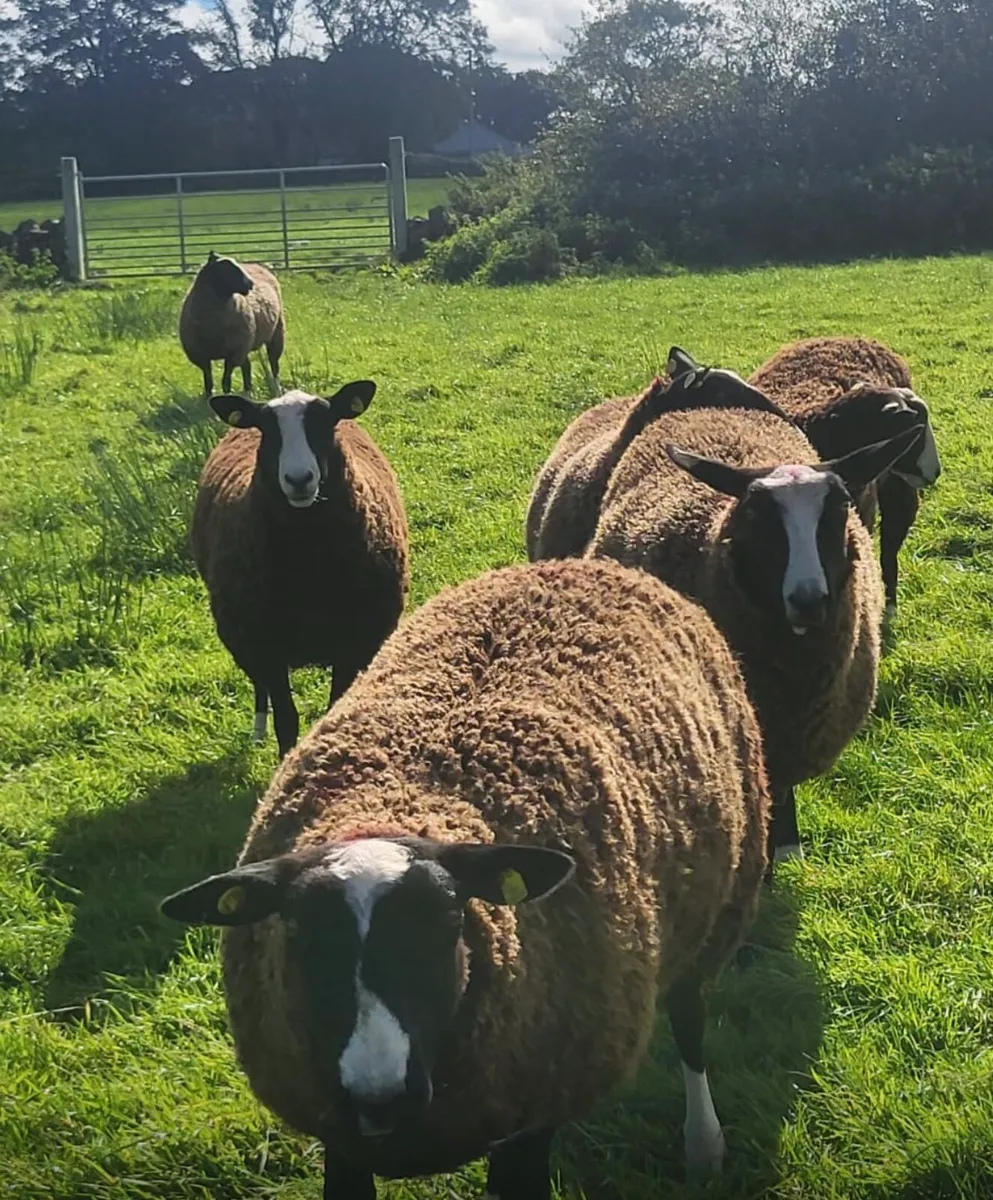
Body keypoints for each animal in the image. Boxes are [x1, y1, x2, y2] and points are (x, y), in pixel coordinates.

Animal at [159, 555, 771, 1200]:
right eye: (296, 932)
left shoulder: (532, 1118)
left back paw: (703, 1143)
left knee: (690, 1018)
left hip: (719, 907)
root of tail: (579, 563)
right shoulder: (340, 1139)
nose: (380, 1096)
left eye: (450, 920)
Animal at [179, 251, 286, 396]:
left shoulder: (233, 353)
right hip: (245, 344)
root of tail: (258, 265)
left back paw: (276, 388)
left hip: (276, 333)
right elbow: (208, 381)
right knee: (247, 365)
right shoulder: (201, 355)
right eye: (226, 268)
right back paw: (248, 390)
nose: (251, 283)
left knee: (274, 364)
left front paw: (226, 396)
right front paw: (208, 397)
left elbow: (226, 381)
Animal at [190, 382, 409, 759]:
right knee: (259, 686)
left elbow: (334, 707)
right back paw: (257, 730)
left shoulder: (355, 644)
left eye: (326, 422)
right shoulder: (264, 646)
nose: (299, 479)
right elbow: (286, 720)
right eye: (266, 428)